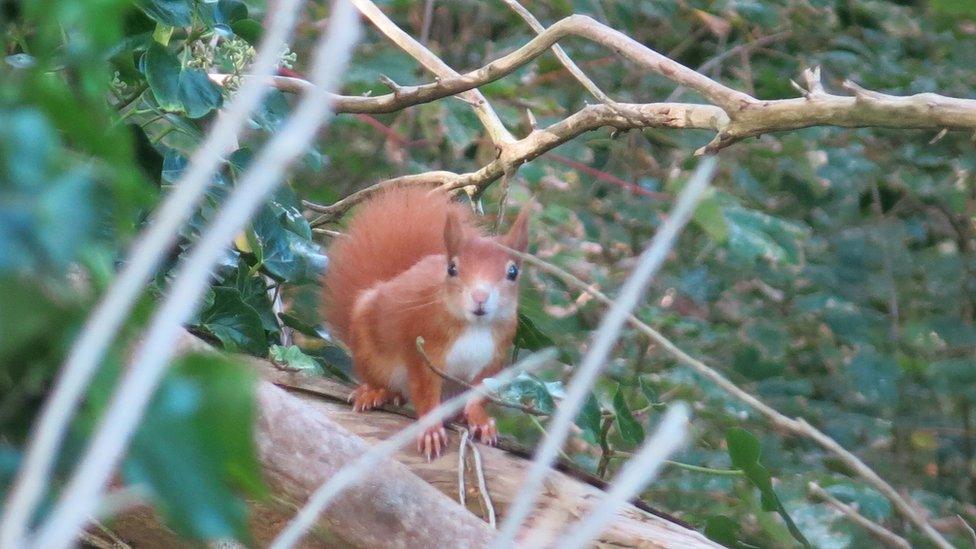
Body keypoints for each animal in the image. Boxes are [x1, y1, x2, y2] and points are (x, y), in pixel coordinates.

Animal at [324, 186, 528, 456]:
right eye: (452, 269)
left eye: (513, 272)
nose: (480, 297)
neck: (473, 326)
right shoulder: (423, 347)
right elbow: (424, 389)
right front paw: (431, 430)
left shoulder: (495, 356)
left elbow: (480, 391)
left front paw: (480, 419)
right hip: (370, 354)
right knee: (385, 382)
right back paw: (376, 392)